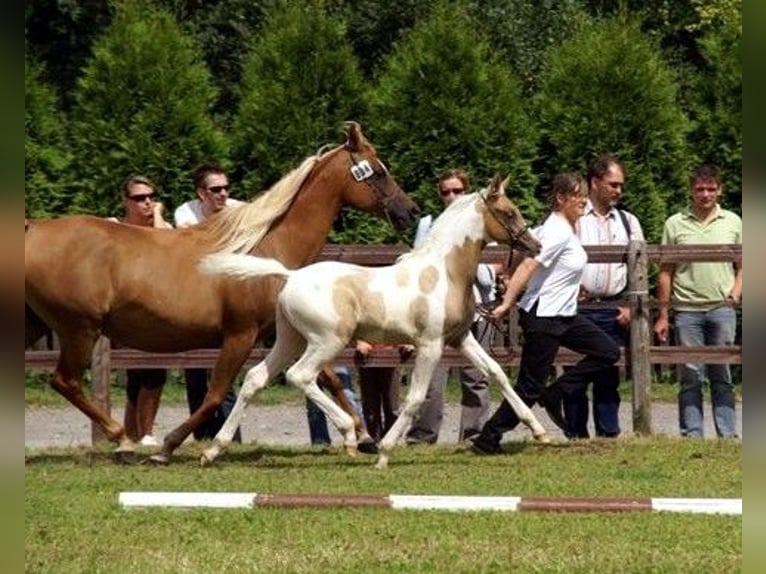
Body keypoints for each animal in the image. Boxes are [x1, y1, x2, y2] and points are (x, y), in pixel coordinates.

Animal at [25, 121, 420, 463]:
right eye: (378, 171)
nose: (411, 212)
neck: (266, 248)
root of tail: (32, 229)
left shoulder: (282, 333)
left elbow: (328, 378)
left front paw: (365, 437)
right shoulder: (239, 335)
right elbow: (216, 395)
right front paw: (169, 447)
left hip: (41, 325)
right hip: (79, 329)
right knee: (65, 381)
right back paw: (123, 440)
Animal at [198, 174, 549, 469]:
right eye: (508, 213)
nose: (536, 246)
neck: (442, 271)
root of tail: (290, 275)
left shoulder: (460, 338)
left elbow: (497, 373)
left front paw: (539, 431)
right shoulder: (431, 345)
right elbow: (415, 398)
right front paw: (384, 453)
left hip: (291, 339)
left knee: (255, 378)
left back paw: (213, 450)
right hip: (327, 342)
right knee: (300, 375)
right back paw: (351, 434)